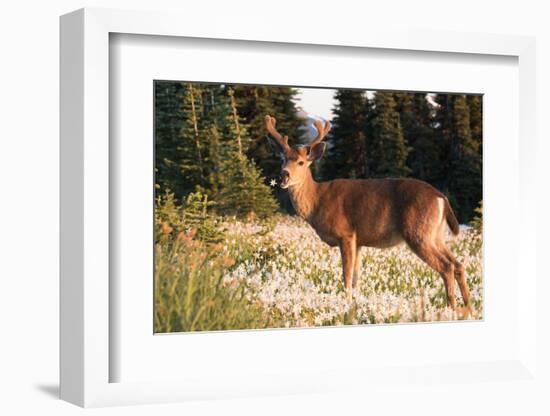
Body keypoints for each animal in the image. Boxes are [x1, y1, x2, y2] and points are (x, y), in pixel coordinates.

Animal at [266, 114, 472, 316]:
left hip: (418, 233)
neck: (317, 200)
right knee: (458, 264)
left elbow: (347, 275)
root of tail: (441, 197)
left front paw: (347, 304)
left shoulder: (346, 234)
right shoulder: (359, 241)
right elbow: (356, 277)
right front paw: (355, 303)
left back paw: (451, 308)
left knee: (447, 266)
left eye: (301, 162)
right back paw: (468, 307)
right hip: (435, 234)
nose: (283, 175)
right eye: (283, 159)